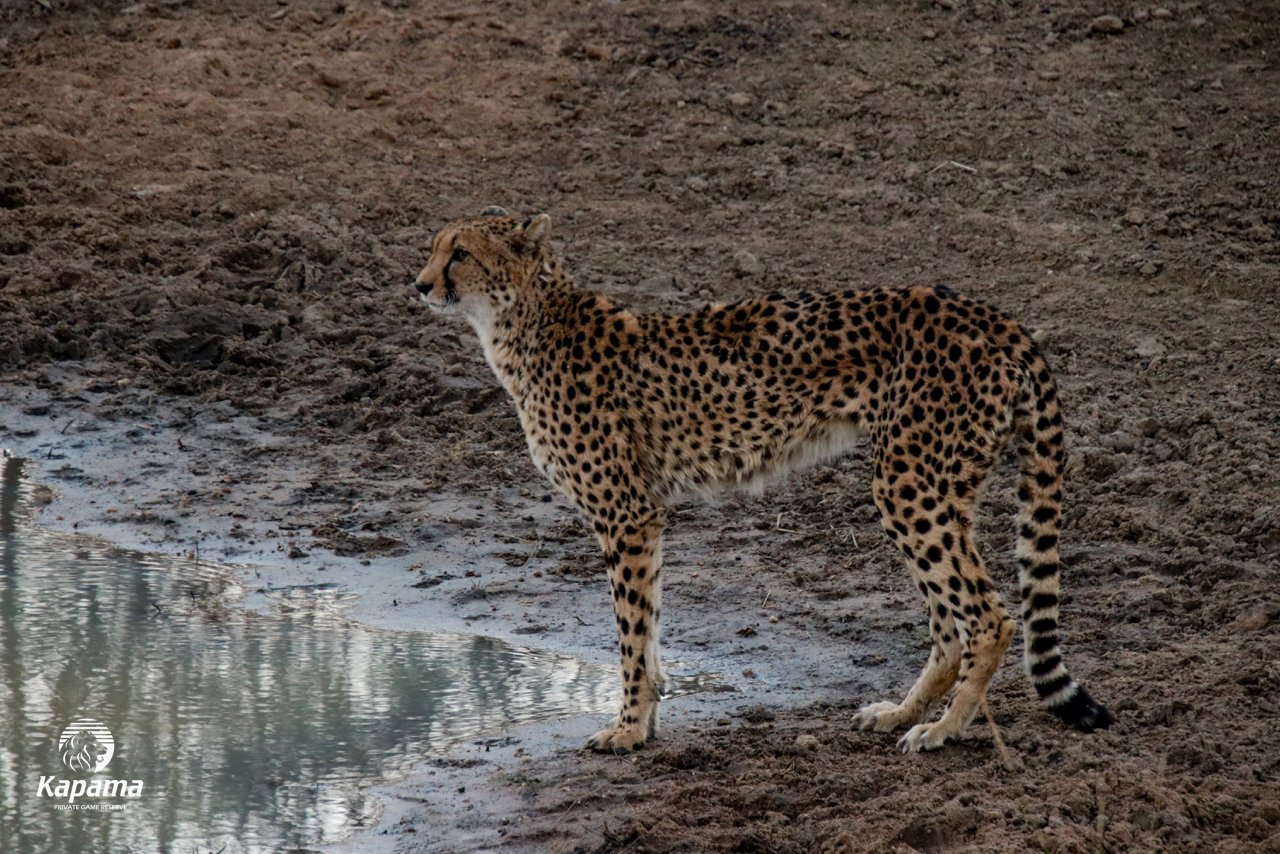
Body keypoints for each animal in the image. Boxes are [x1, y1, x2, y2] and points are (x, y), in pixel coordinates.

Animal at [412, 207, 1115, 755]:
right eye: (435, 246)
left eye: (461, 253)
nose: (419, 286)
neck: (524, 324)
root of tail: (986, 310)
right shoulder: (646, 515)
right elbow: (650, 621)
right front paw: (651, 707)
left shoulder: (626, 513)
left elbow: (631, 632)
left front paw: (630, 728)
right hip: (936, 486)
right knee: (951, 623)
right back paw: (903, 713)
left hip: (910, 484)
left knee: (990, 617)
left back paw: (944, 729)